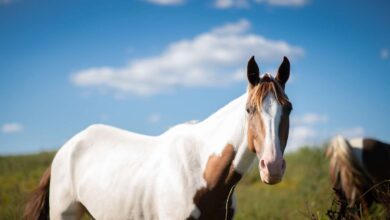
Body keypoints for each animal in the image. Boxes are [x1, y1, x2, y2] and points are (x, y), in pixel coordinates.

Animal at [24, 55, 292, 219]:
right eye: (249, 110)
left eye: (288, 108)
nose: (272, 167)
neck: (201, 174)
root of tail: (65, 150)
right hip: (64, 213)